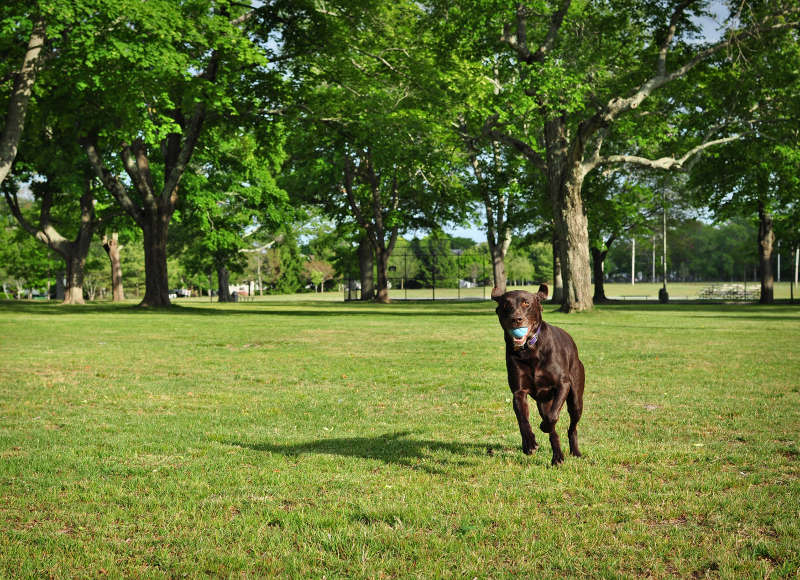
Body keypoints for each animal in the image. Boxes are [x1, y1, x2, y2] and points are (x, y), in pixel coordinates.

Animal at [490, 284, 584, 464]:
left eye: (526, 303)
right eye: (506, 305)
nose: (516, 319)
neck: (530, 350)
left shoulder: (563, 385)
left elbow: (552, 417)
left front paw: (543, 426)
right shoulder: (519, 392)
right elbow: (522, 419)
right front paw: (529, 444)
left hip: (575, 399)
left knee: (572, 426)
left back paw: (574, 451)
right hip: (544, 402)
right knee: (552, 428)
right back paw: (557, 457)